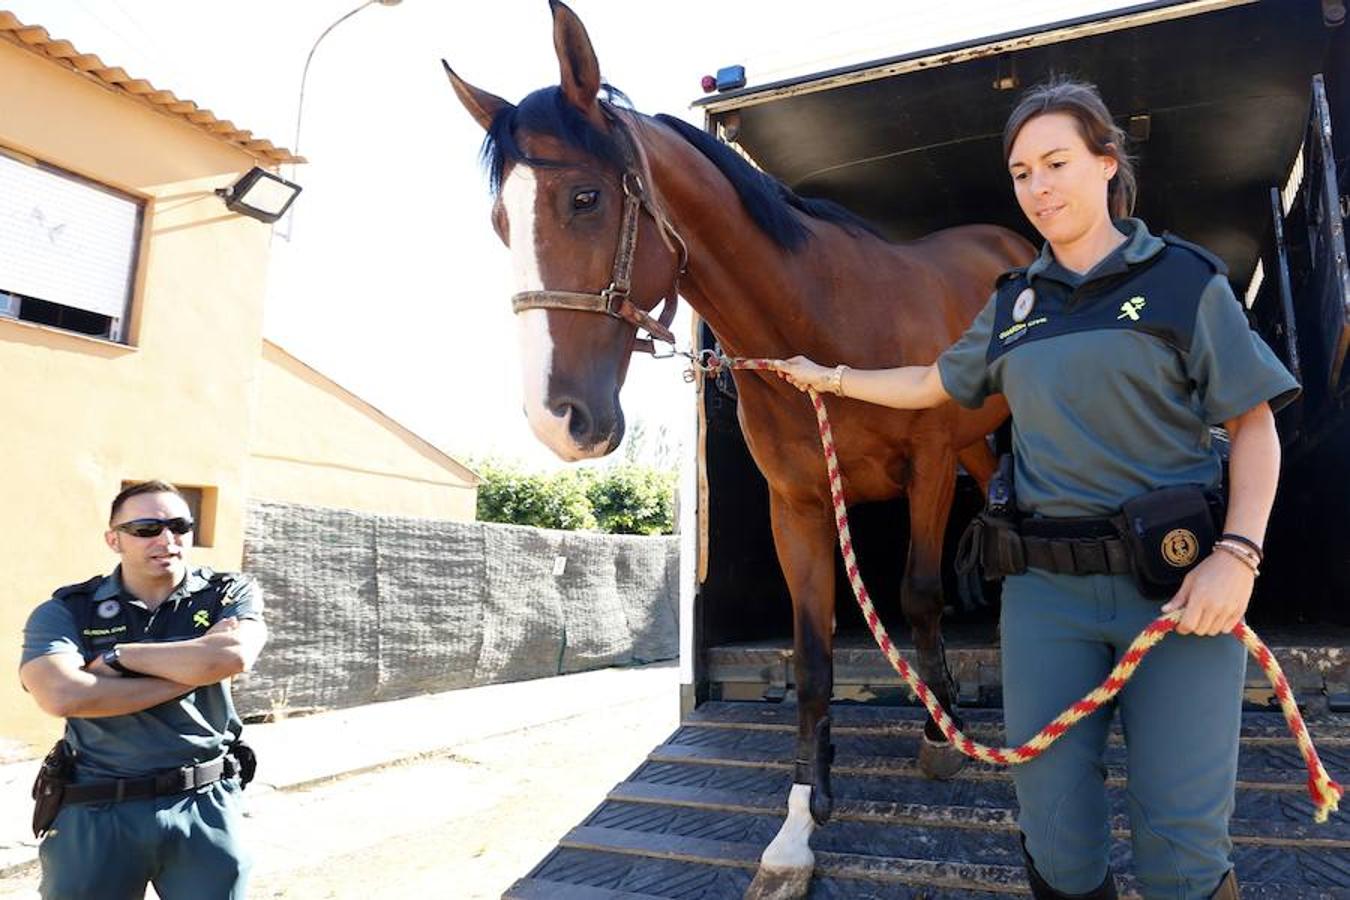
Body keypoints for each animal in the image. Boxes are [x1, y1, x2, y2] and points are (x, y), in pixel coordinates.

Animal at [445, 5, 1031, 895]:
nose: (557, 419)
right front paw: (799, 823)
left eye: (585, 196)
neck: (825, 317)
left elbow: (921, 595)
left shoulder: (926, 474)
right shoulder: (800, 505)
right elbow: (814, 656)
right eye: (501, 223)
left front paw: (940, 732)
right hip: (970, 449)